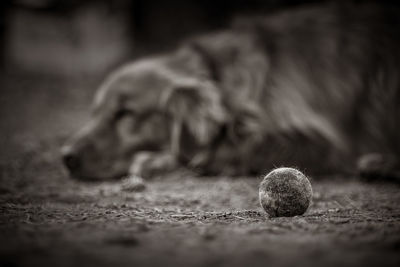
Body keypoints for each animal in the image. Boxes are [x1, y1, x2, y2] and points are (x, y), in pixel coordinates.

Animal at [60, 2, 400, 182]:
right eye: (95, 113)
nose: (66, 157)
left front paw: (159, 161)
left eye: (125, 114)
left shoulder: (324, 142)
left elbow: (235, 149)